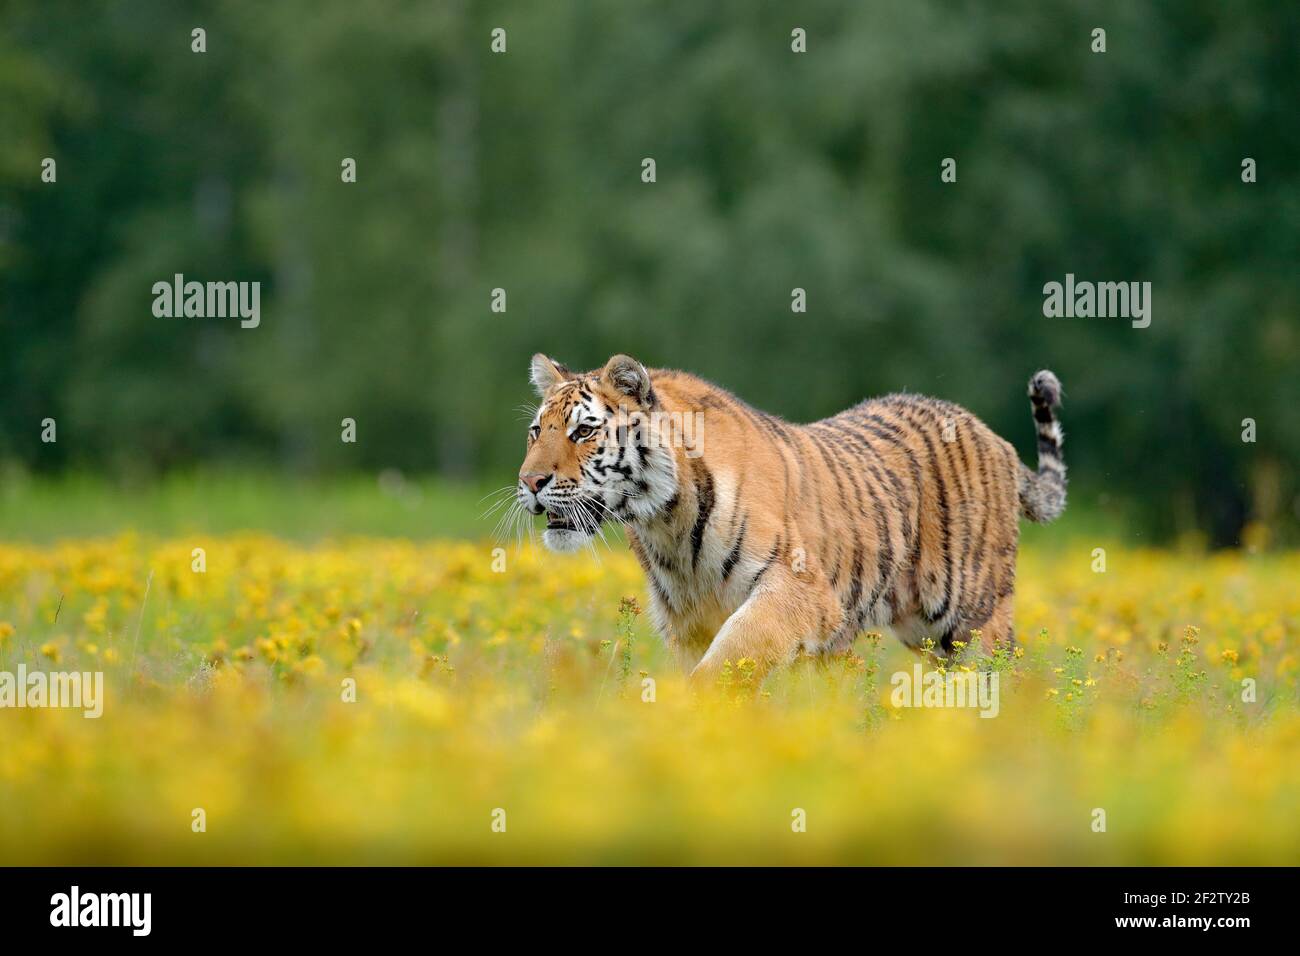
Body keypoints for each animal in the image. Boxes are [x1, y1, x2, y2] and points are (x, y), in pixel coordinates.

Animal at [509, 356, 1066, 686]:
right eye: (536, 431)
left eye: (584, 432)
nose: (530, 481)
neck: (666, 524)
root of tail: (994, 437)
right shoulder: (686, 621)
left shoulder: (796, 587)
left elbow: (736, 650)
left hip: (972, 619)